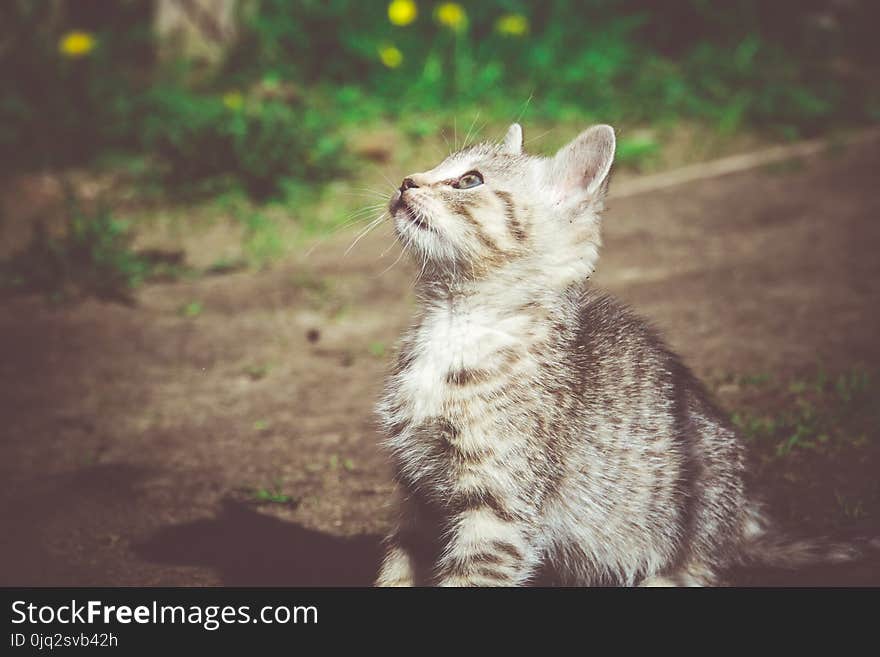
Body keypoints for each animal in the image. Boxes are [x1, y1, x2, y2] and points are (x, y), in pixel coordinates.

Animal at [376, 123, 860, 584]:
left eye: (469, 181)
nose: (406, 181)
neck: (451, 325)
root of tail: (744, 521)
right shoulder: (417, 494)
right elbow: (397, 567)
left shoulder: (501, 509)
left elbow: (471, 576)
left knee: (704, 565)